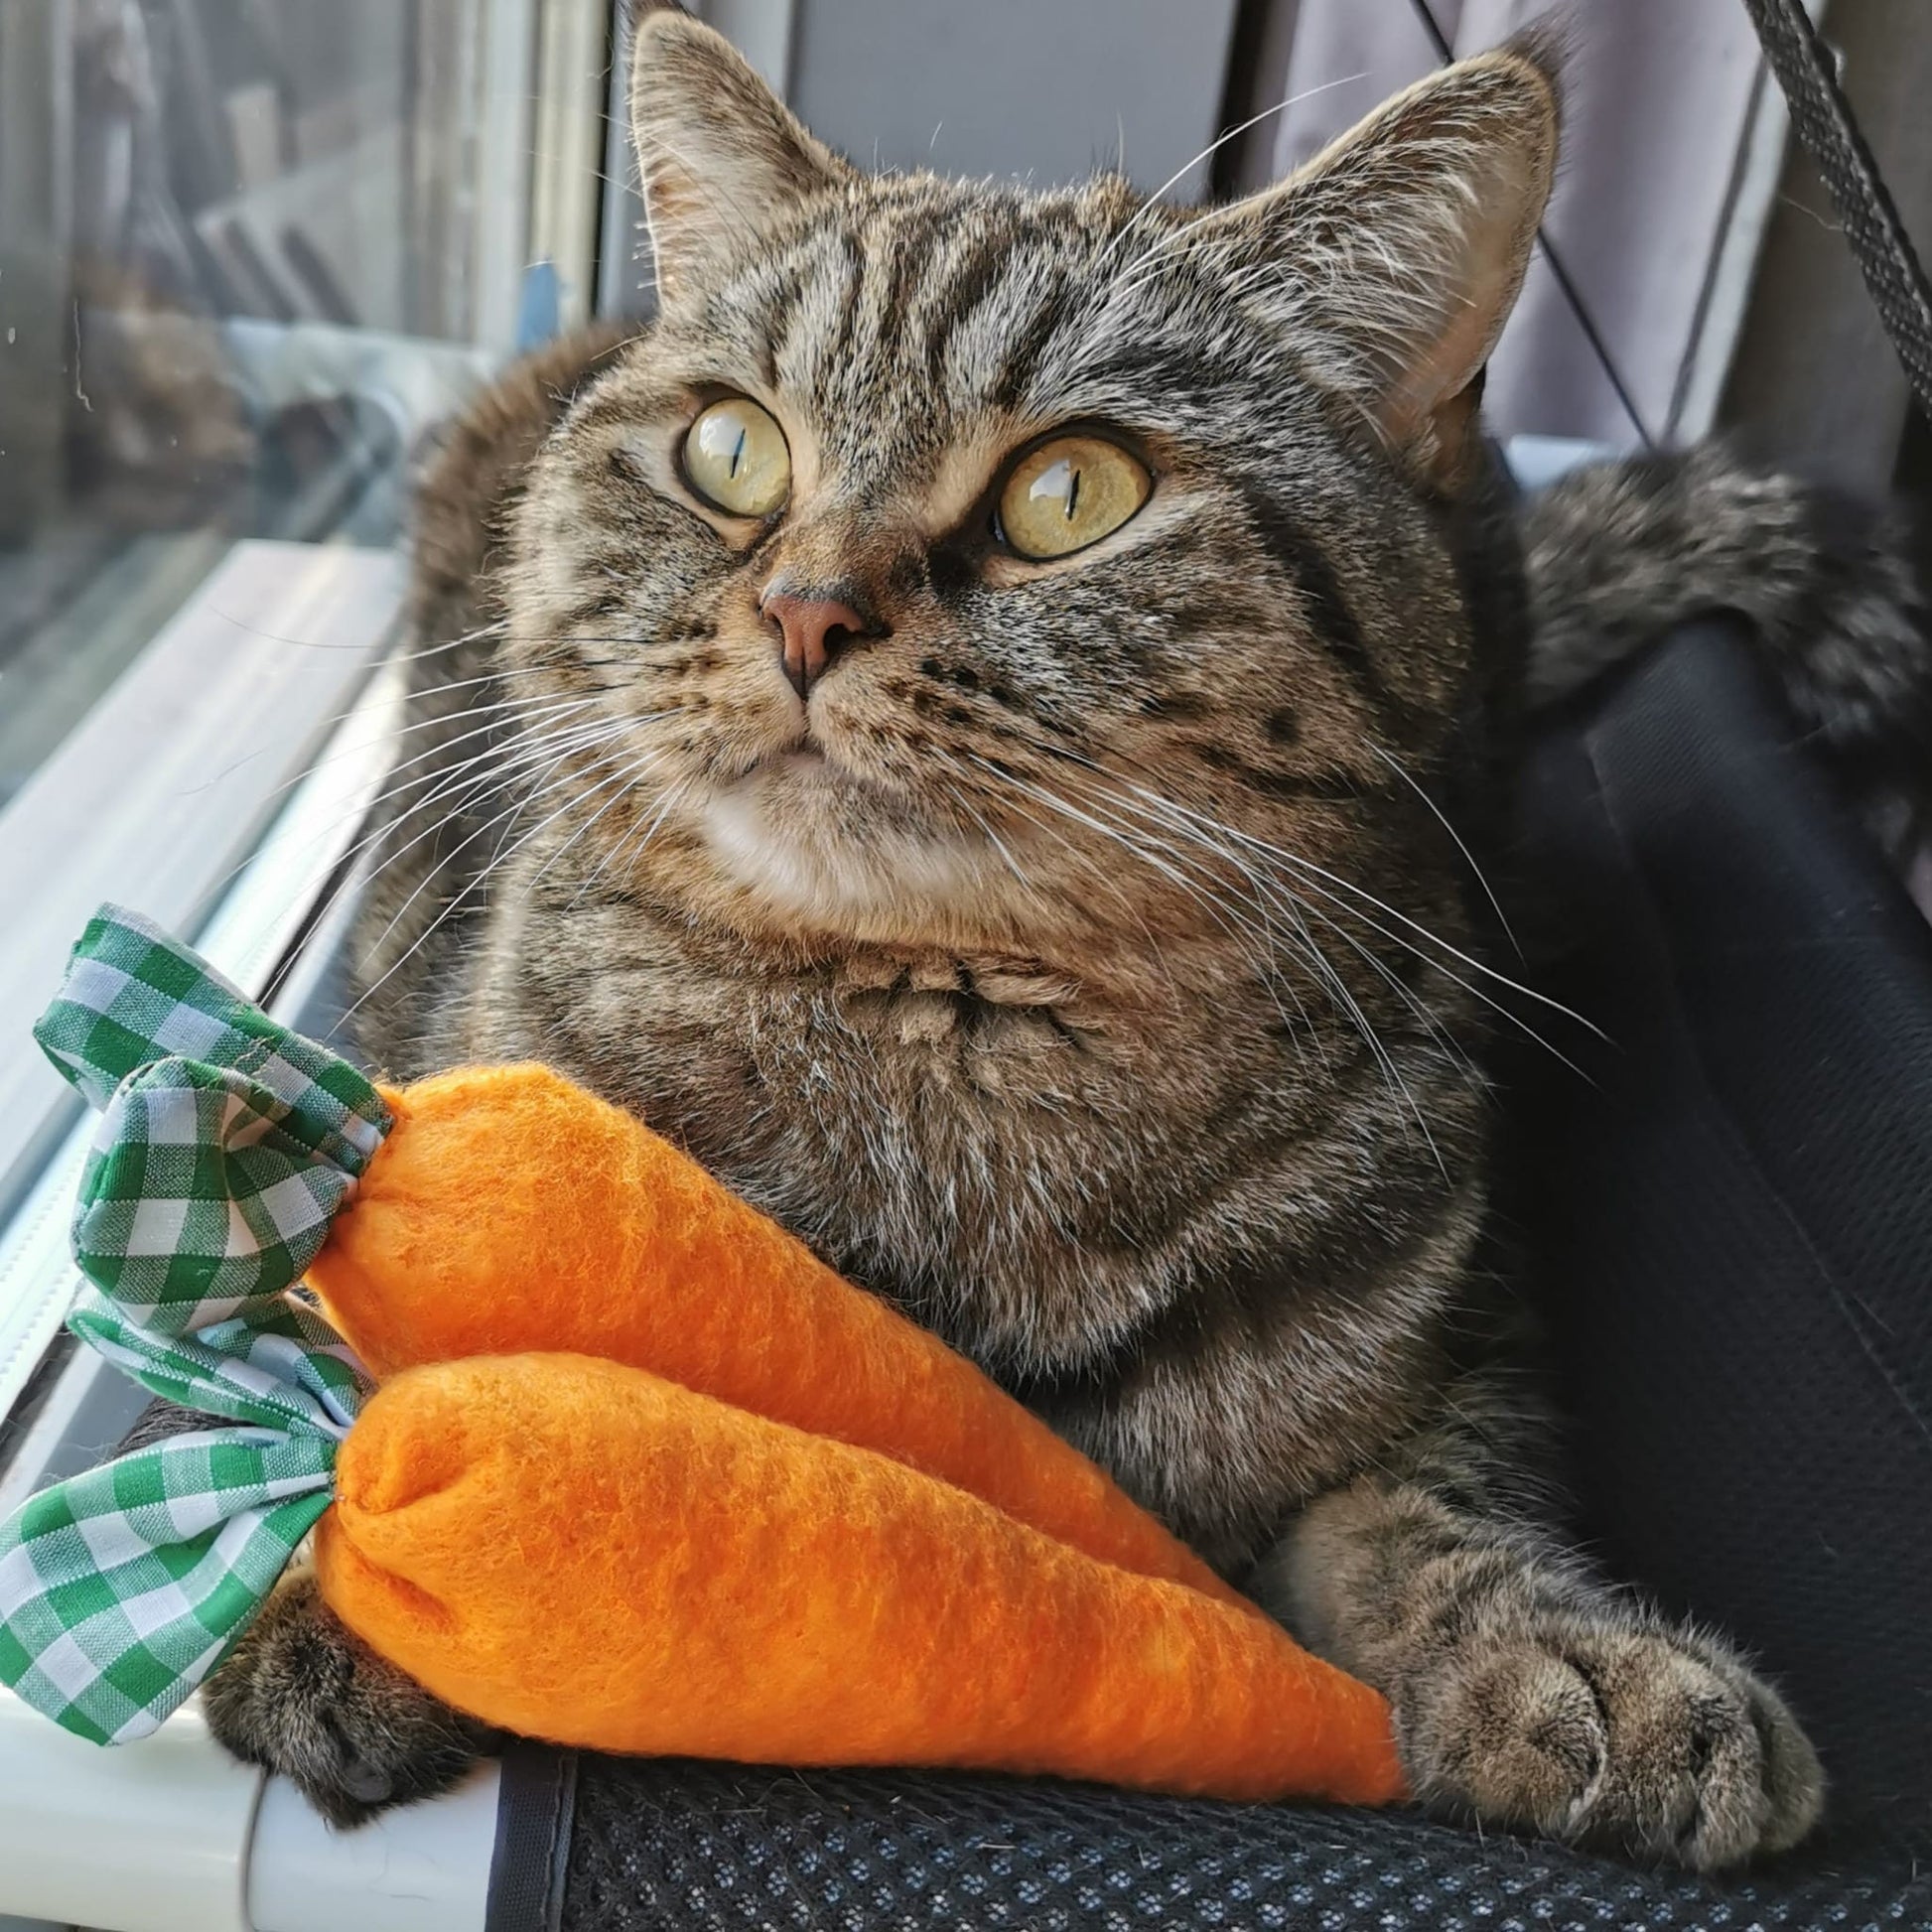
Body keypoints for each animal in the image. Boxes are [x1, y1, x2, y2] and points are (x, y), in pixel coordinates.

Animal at [196, 3, 1932, 1869]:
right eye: (731, 449)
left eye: (1070, 492)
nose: (805, 610)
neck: (944, 1050)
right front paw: (336, 1590)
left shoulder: (1465, 1315)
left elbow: (1433, 1504)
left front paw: (1568, 1652)